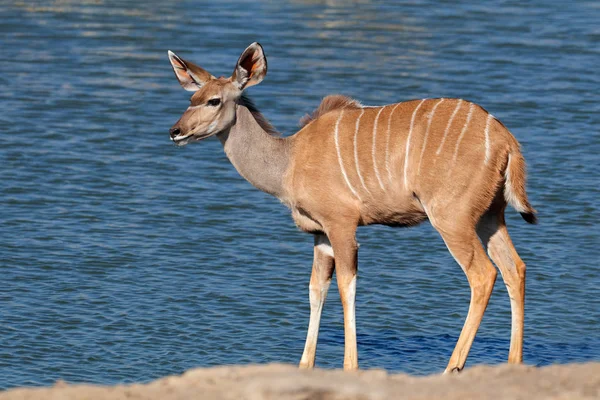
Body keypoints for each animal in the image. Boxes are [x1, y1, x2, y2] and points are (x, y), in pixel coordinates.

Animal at [166, 43, 536, 372]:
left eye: (214, 100)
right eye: (191, 99)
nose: (176, 131)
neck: (288, 160)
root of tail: (506, 140)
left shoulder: (342, 225)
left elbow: (347, 287)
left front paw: (350, 365)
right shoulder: (320, 234)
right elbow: (316, 290)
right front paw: (305, 365)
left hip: (451, 219)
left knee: (483, 274)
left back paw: (452, 368)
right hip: (490, 217)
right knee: (514, 268)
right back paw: (513, 364)